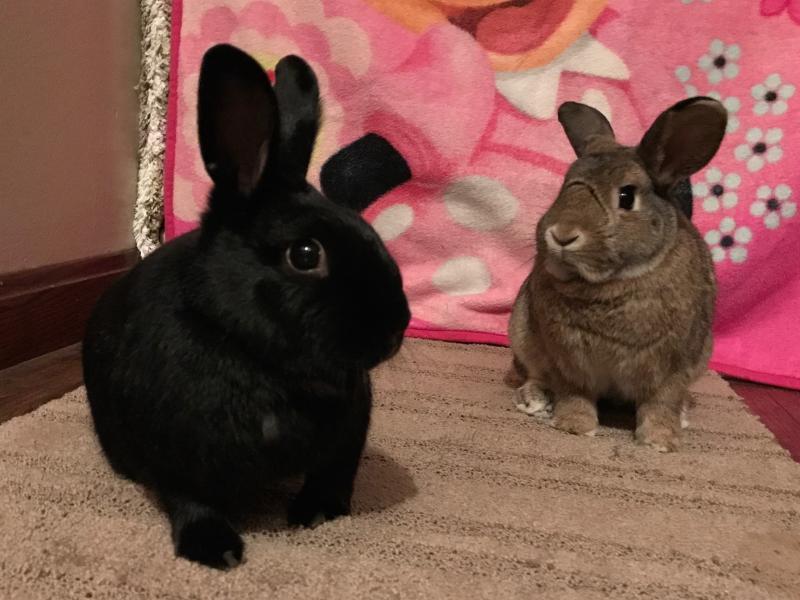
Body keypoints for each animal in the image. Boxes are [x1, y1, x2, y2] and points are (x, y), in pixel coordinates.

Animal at [82, 44, 411, 569]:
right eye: (305, 255)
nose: (396, 330)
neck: (259, 360)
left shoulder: (346, 439)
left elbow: (332, 475)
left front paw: (319, 512)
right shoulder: (178, 460)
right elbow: (191, 501)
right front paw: (216, 550)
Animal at [507, 97, 727, 452]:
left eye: (626, 196)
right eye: (564, 188)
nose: (562, 234)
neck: (612, 283)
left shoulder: (674, 366)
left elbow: (661, 402)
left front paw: (661, 441)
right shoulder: (569, 360)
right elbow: (575, 393)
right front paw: (575, 426)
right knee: (536, 374)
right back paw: (534, 400)